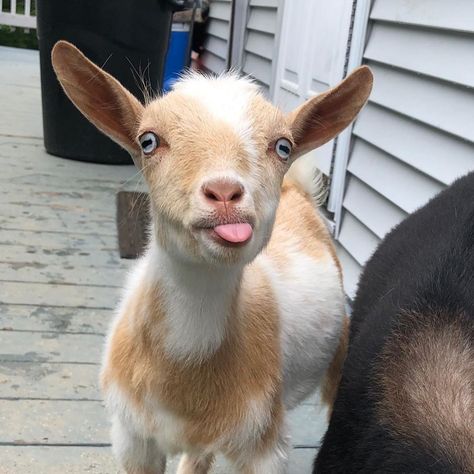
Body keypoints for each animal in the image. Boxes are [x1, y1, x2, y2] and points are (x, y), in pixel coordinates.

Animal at [50, 41, 372, 474]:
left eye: (282, 146)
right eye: (148, 140)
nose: (224, 192)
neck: (183, 375)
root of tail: (299, 191)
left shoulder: (264, 444)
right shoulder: (132, 436)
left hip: (340, 352)